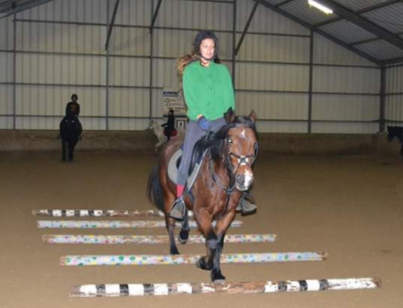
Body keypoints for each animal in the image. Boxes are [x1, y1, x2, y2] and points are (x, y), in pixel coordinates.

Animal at [148, 110, 258, 282]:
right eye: (230, 140)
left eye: (254, 143)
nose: (244, 179)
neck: (222, 179)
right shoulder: (202, 212)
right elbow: (211, 240)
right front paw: (205, 263)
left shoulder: (227, 214)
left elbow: (218, 242)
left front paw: (216, 271)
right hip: (168, 196)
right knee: (170, 222)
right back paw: (174, 248)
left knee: (184, 208)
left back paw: (184, 233)